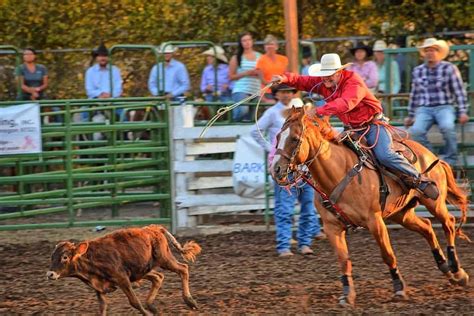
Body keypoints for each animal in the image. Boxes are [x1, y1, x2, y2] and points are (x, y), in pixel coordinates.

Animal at [47, 223, 202, 314]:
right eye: (52, 256)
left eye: (65, 257)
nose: (50, 274)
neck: (91, 258)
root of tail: (153, 228)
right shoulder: (99, 287)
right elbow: (102, 307)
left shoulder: (122, 279)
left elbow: (134, 302)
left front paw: (146, 313)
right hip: (142, 270)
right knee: (158, 277)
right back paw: (152, 306)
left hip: (164, 259)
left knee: (183, 269)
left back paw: (190, 301)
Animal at [272, 106, 468, 306]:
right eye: (278, 136)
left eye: (294, 138)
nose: (276, 169)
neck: (338, 172)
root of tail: (432, 155)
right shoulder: (331, 227)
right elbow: (343, 260)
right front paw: (347, 294)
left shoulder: (374, 221)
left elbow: (387, 254)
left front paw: (399, 287)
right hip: (401, 214)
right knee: (427, 227)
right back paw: (446, 269)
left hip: (434, 203)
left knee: (448, 223)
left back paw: (457, 270)